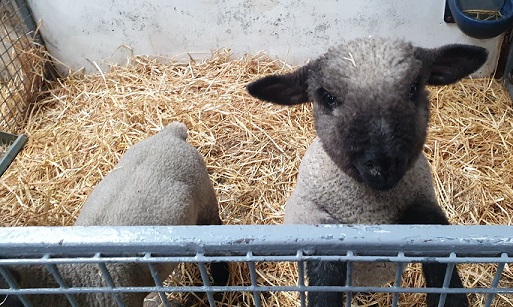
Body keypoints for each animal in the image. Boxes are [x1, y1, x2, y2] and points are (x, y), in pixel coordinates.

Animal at [246, 38, 486, 307]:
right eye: (328, 97)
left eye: (414, 87)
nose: (383, 164)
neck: (369, 211)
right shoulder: (315, 220)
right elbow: (325, 272)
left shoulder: (423, 203)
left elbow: (441, 258)